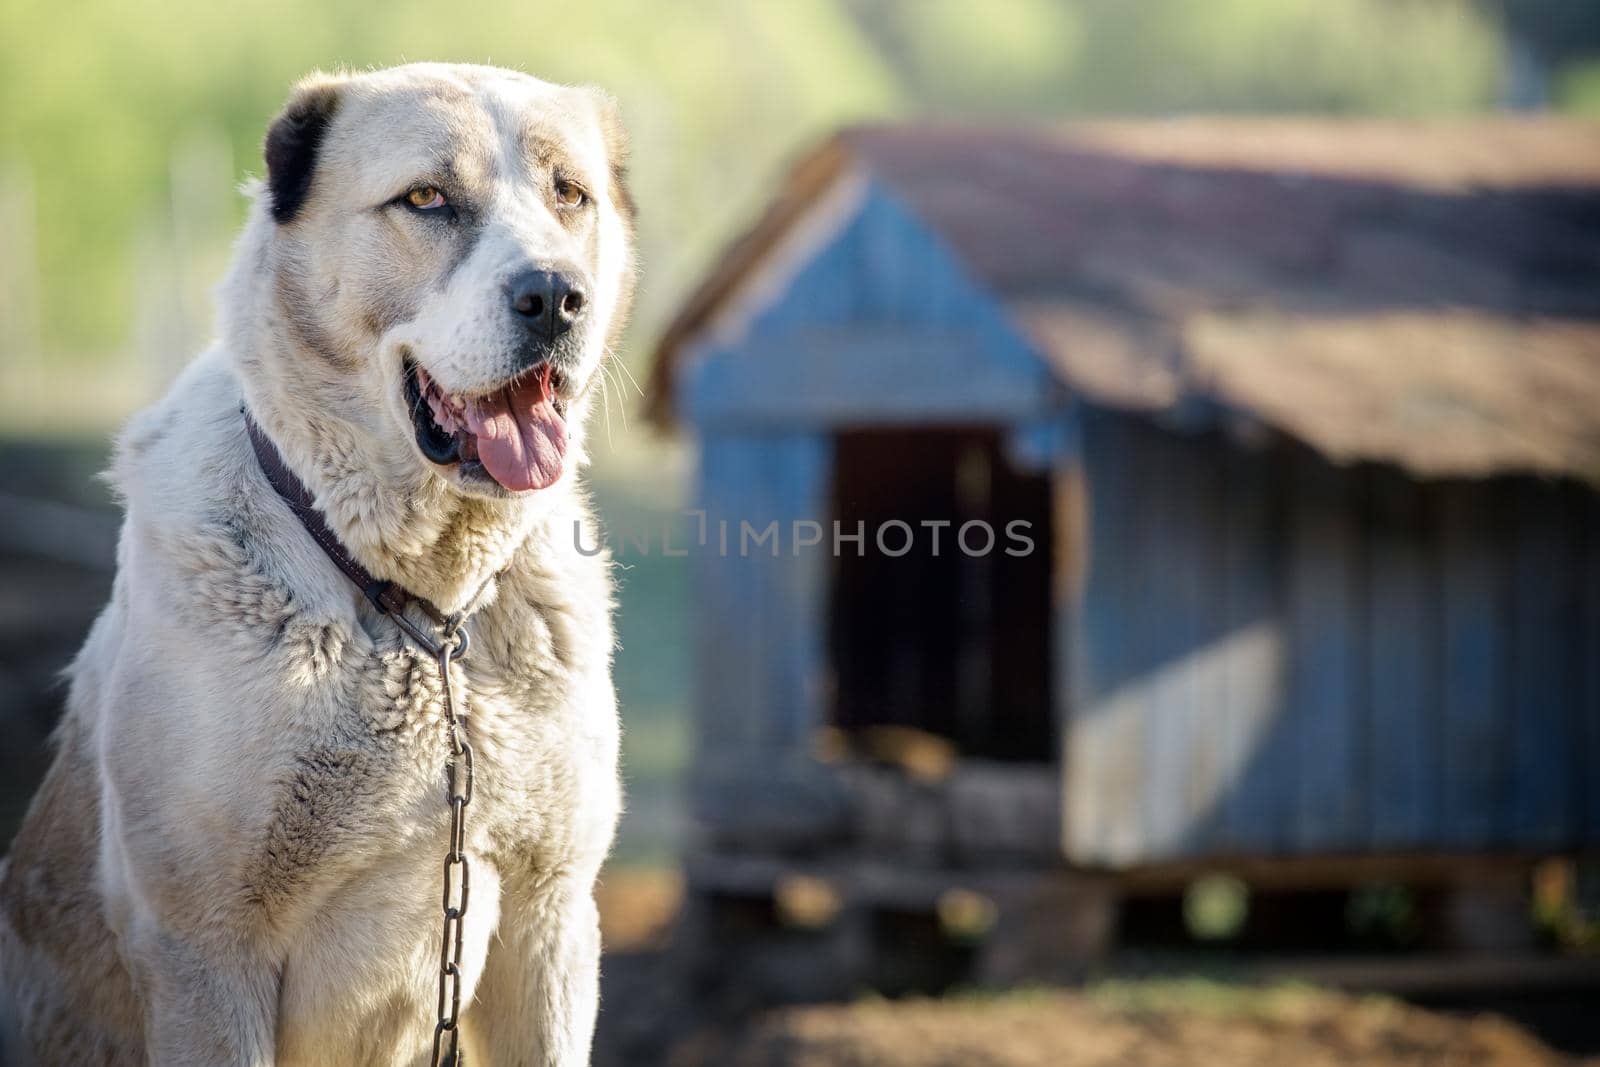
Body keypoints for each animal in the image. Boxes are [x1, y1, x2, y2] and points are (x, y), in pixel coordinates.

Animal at [0, 62, 636, 1062]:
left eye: (570, 194)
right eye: (426, 199)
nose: (555, 296)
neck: (424, 616)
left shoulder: (552, 917)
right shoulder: (205, 951)